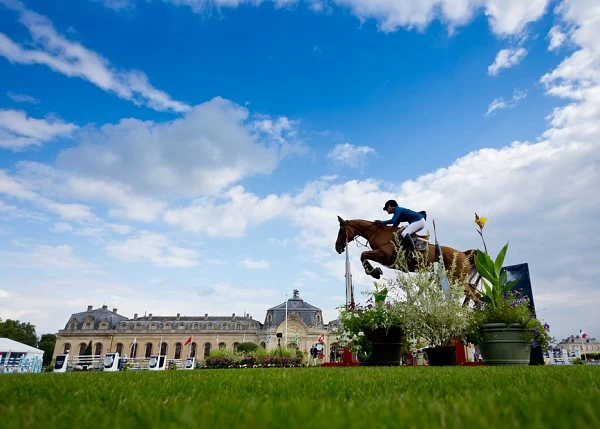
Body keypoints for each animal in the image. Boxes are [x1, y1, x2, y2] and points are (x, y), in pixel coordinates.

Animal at [332, 217, 478, 298]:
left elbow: (363, 255)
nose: (338, 248)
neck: (377, 233)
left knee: (474, 296)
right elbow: (363, 256)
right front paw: (374, 271)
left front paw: (373, 272)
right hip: (454, 280)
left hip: (457, 280)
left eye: (341, 230)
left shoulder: (384, 255)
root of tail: (463, 254)